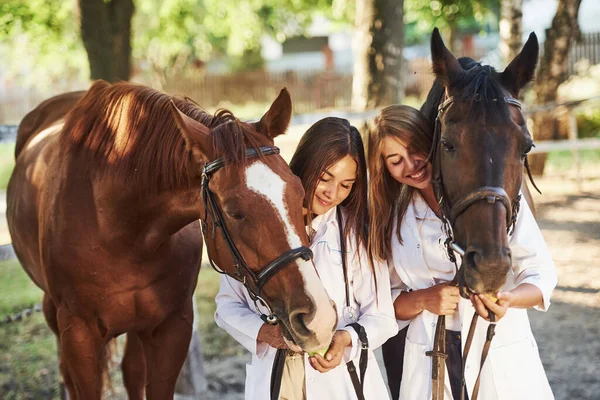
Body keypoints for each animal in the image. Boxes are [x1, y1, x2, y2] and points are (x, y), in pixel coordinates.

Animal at [8, 79, 338, 398]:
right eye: (234, 211)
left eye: (299, 192)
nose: (318, 318)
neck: (118, 226)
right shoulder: (78, 335)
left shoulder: (172, 327)